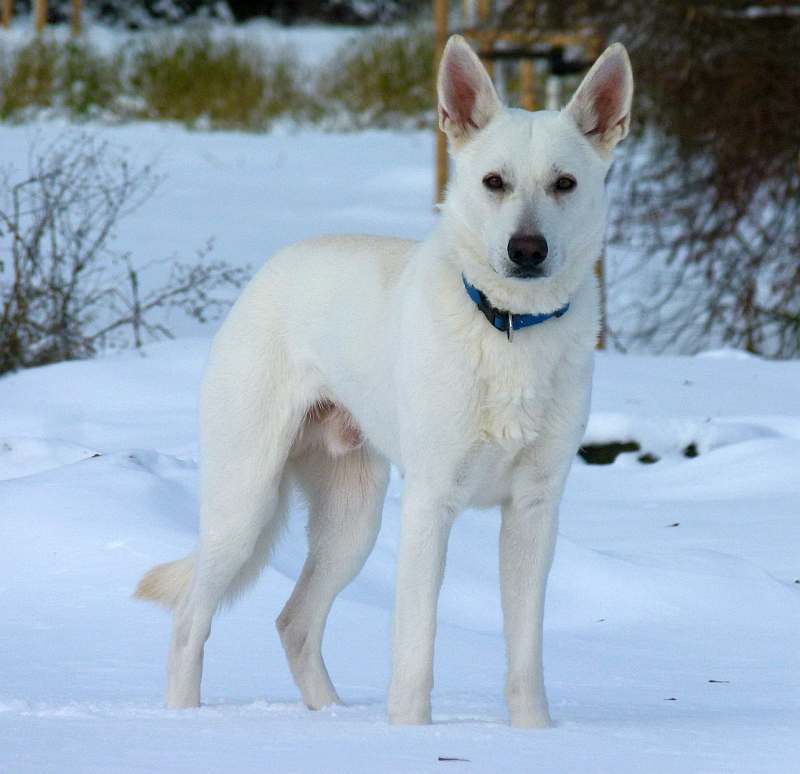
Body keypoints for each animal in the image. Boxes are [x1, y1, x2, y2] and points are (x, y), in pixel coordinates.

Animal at [134, 34, 632, 728]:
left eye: (565, 183)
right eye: (494, 182)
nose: (527, 250)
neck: (507, 326)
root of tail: (269, 271)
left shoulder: (535, 510)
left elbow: (525, 654)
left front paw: (533, 735)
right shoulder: (429, 503)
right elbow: (416, 649)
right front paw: (409, 735)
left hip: (352, 521)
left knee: (294, 622)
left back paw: (331, 716)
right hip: (245, 503)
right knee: (190, 620)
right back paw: (182, 720)